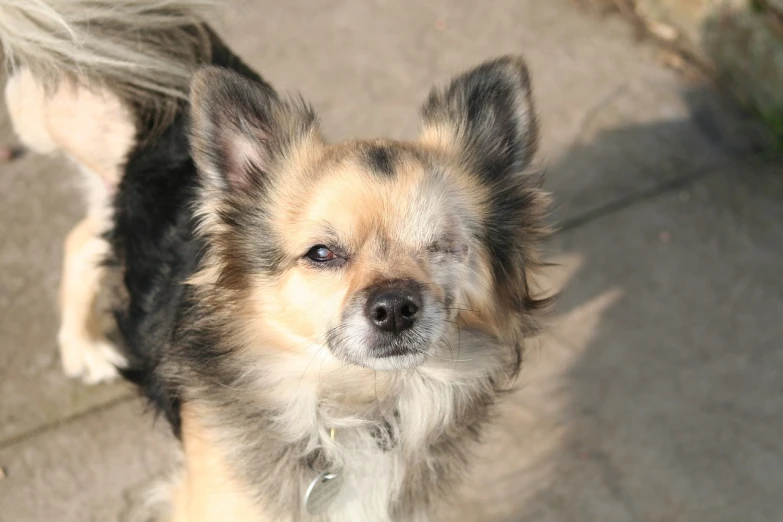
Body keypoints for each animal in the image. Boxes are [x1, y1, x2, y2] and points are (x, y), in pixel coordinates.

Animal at [0, 2, 552, 516]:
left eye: (442, 247)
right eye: (321, 254)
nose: (394, 308)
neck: (358, 403)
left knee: (81, 239)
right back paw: (82, 346)